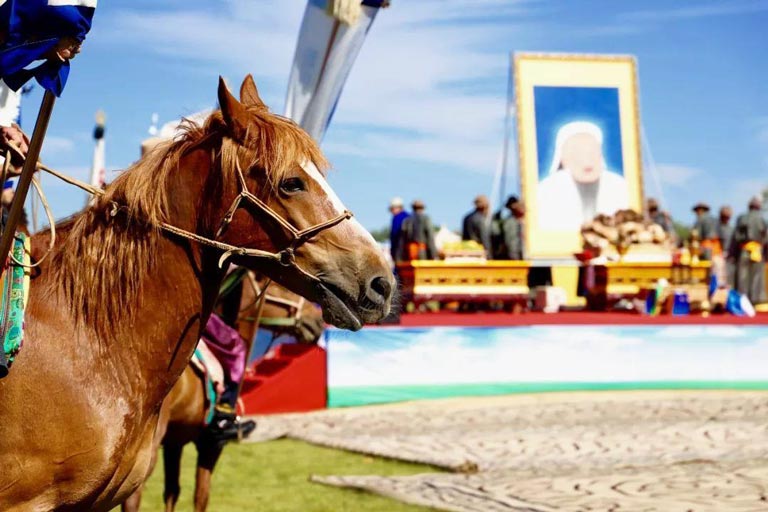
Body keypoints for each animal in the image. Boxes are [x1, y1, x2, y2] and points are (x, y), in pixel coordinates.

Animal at [122, 274, 320, 512]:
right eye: (283, 287)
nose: (317, 319)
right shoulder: (211, 445)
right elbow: (201, 496)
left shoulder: (174, 442)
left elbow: (171, 492)